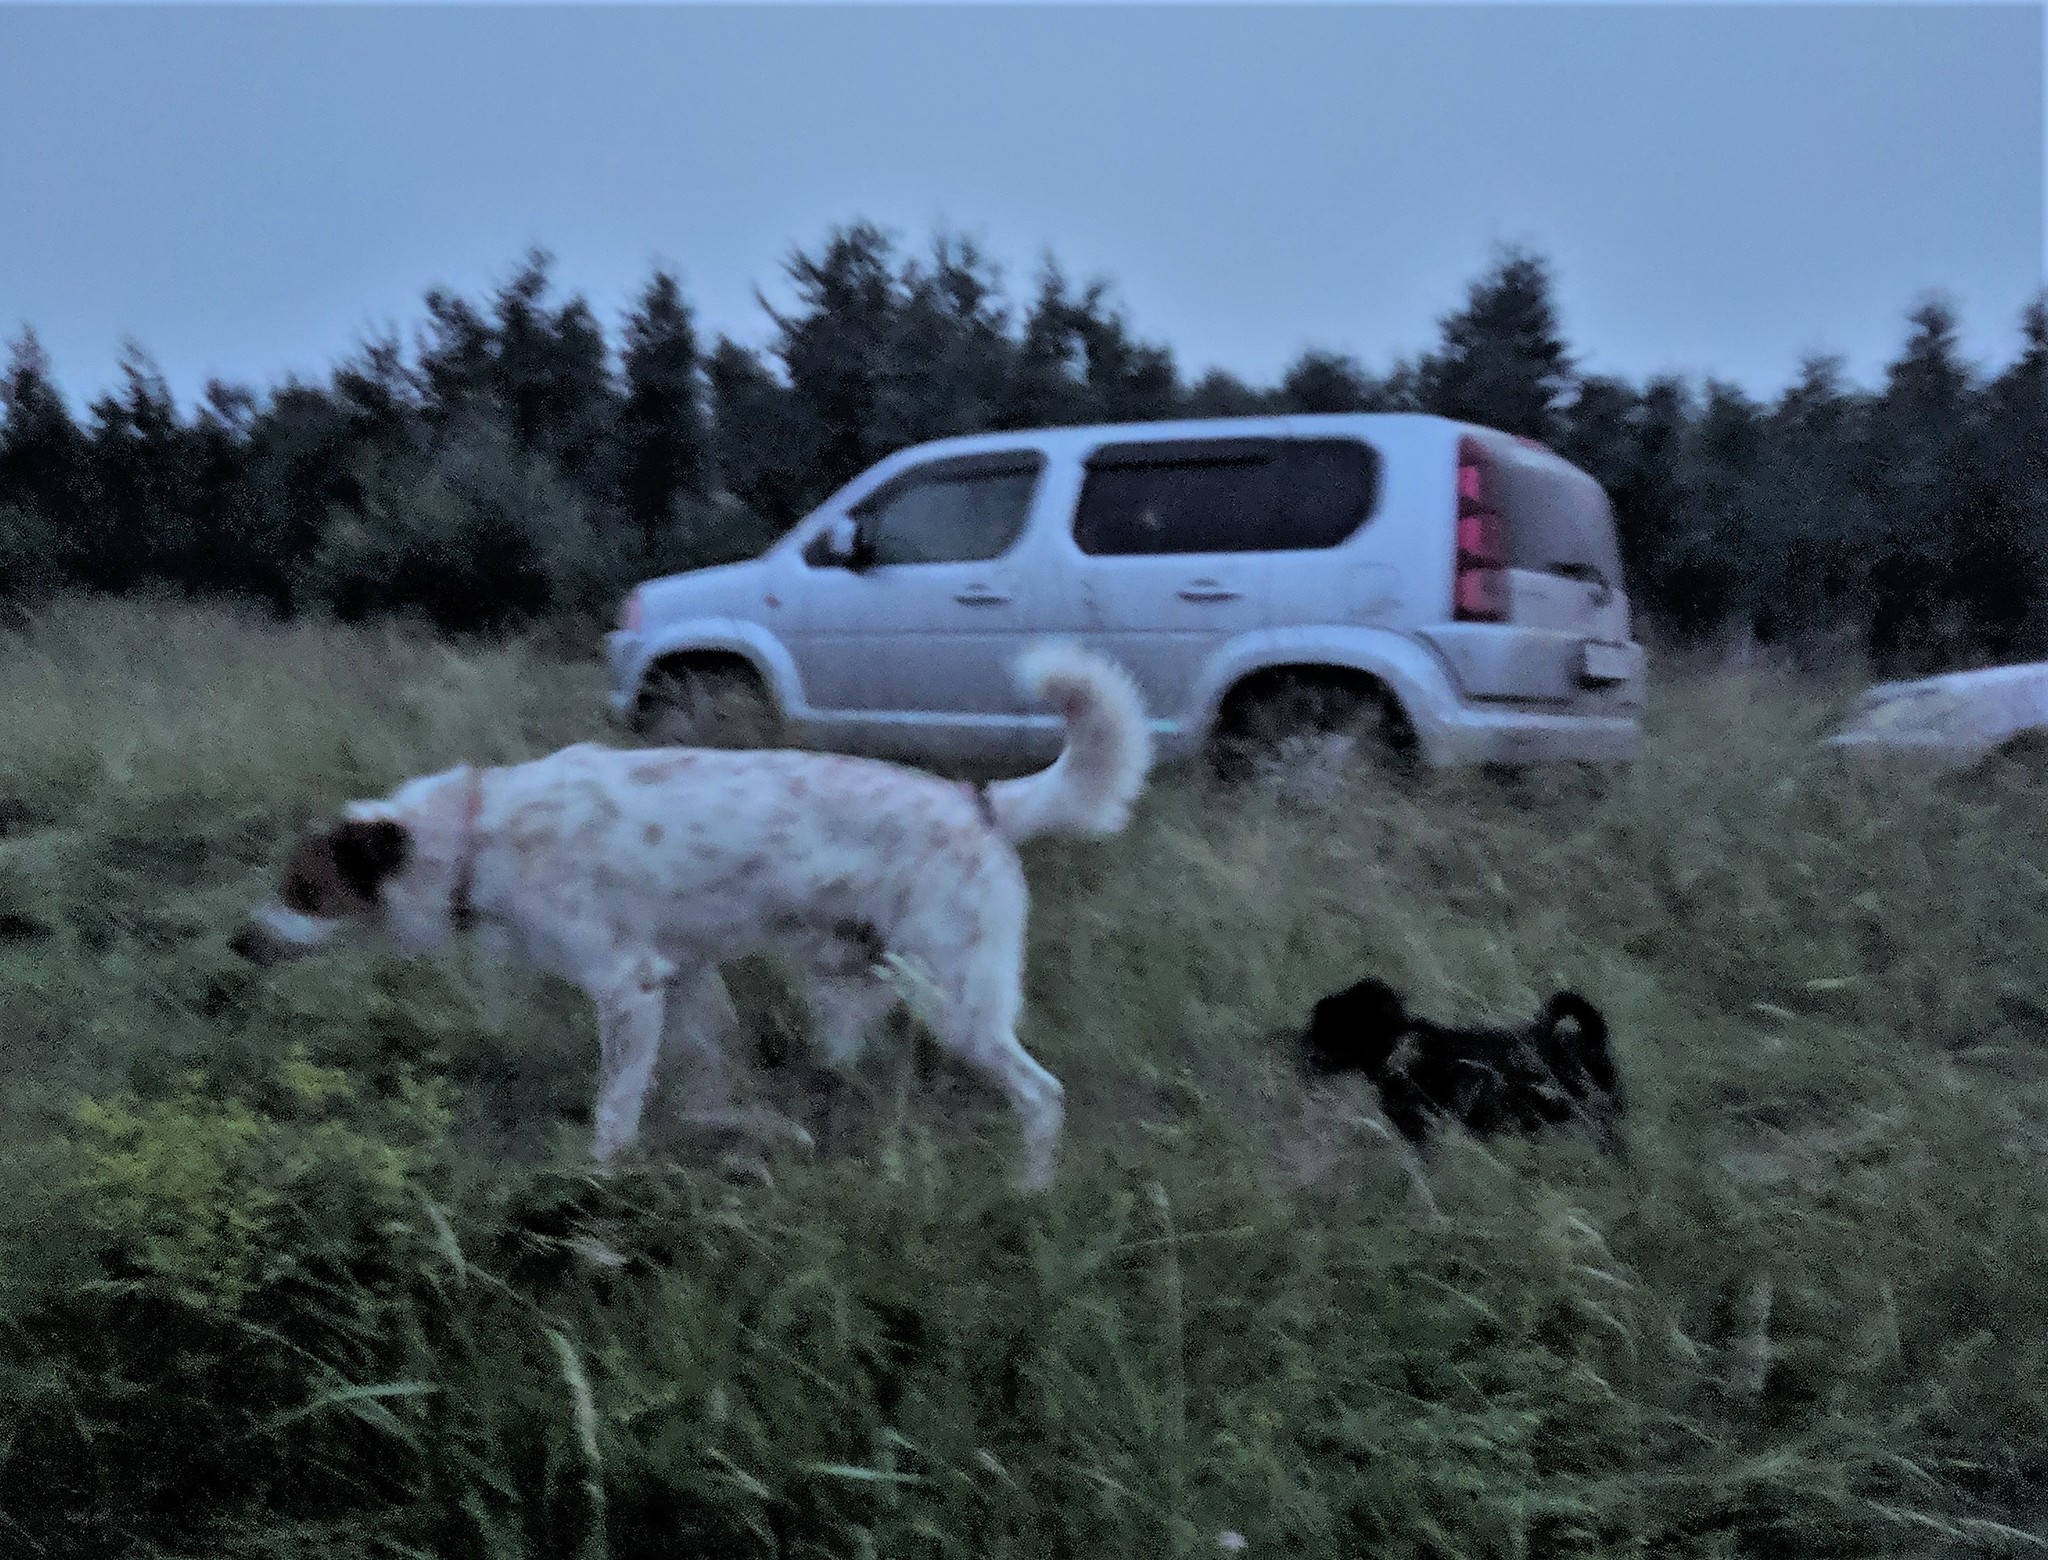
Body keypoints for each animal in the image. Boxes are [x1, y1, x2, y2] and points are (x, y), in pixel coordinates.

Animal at [234, 638, 1163, 1187]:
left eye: (302, 891)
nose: (240, 942)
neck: (477, 835)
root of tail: (982, 803)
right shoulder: (681, 979)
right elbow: (702, 1086)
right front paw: (746, 1131)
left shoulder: (628, 987)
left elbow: (616, 1109)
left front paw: (598, 1184)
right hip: (849, 986)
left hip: (955, 1002)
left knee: (1042, 1097)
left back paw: (1029, 1192)